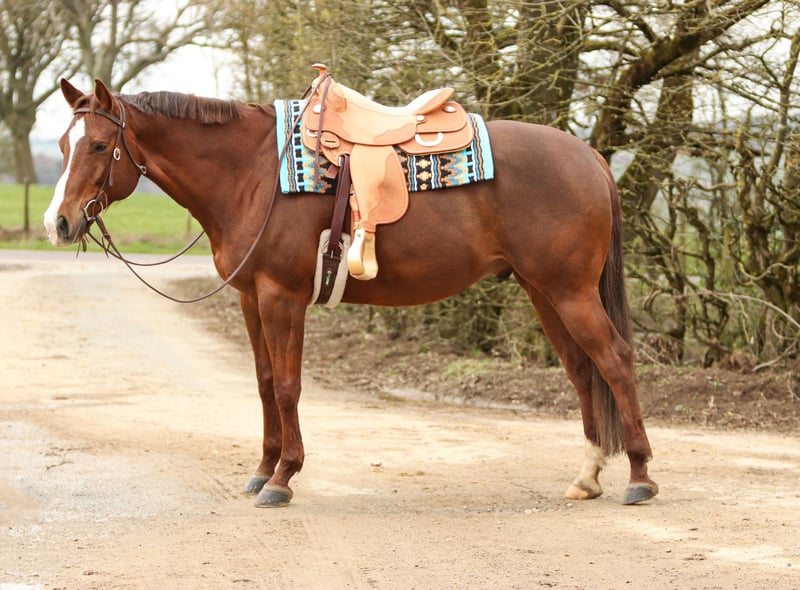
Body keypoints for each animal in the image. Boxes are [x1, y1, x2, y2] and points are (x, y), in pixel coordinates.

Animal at [44, 78, 658, 508]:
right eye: (63, 145)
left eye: (98, 145)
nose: (59, 223)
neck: (251, 174)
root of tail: (589, 157)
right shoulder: (249, 299)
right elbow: (264, 384)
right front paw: (262, 470)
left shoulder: (282, 297)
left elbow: (287, 387)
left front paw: (284, 477)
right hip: (543, 290)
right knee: (582, 370)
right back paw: (587, 476)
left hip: (570, 291)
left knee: (615, 361)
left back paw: (640, 476)